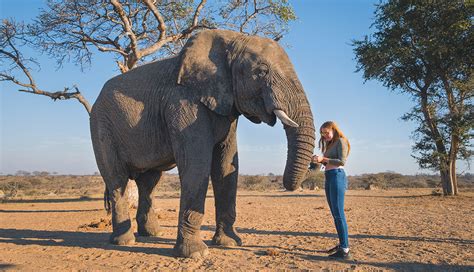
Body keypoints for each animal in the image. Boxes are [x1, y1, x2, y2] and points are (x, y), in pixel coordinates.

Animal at [90, 28, 316, 258]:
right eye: (261, 71)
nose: (286, 183)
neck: (229, 39)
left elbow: (226, 165)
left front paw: (229, 243)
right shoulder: (182, 102)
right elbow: (197, 164)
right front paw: (195, 254)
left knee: (149, 182)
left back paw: (151, 234)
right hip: (101, 126)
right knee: (117, 179)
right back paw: (124, 241)